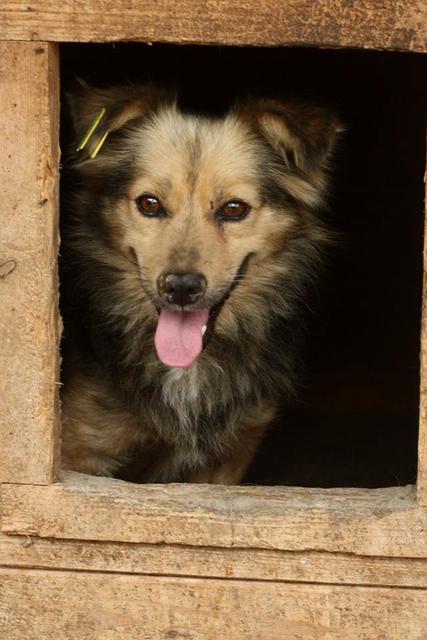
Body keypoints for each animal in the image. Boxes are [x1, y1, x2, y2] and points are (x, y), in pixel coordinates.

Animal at [60, 82, 342, 482]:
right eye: (149, 203)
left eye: (234, 208)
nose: (180, 287)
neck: (188, 370)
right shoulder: (81, 455)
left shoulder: (226, 459)